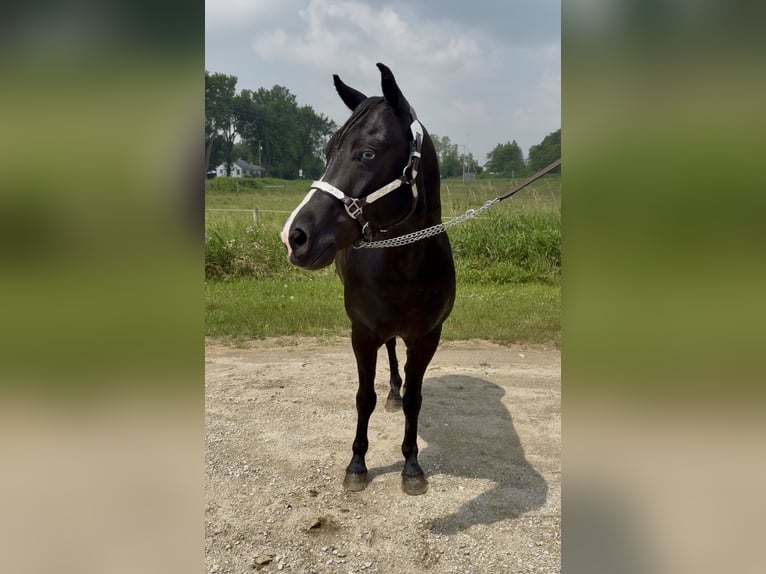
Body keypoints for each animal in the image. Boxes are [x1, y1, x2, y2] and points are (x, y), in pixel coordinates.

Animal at [280, 63, 455, 495]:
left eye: (367, 153)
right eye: (328, 151)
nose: (295, 236)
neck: (406, 264)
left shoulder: (427, 337)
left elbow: (415, 399)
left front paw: (412, 465)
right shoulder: (361, 333)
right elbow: (364, 398)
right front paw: (357, 464)